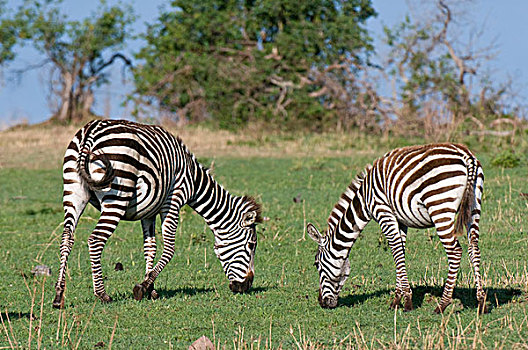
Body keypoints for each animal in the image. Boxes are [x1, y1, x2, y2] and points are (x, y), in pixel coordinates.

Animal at [51, 120, 262, 308]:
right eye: (251, 245)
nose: (246, 286)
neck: (194, 182)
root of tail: (90, 132)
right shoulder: (174, 200)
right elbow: (169, 249)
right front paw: (142, 287)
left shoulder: (149, 211)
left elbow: (150, 247)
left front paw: (150, 288)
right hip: (116, 195)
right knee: (96, 240)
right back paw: (102, 294)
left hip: (74, 191)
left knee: (66, 239)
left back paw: (58, 296)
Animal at [310, 144, 486, 314]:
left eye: (317, 264)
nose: (322, 303)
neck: (364, 200)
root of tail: (466, 155)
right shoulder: (401, 221)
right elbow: (400, 252)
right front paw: (397, 299)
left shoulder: (383, 212)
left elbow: (396, 251)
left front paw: (406, 302)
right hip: (474, 206)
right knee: (474, 249)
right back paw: (481, 302)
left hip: (440, 205)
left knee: (455, 251)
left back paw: (442, 305)